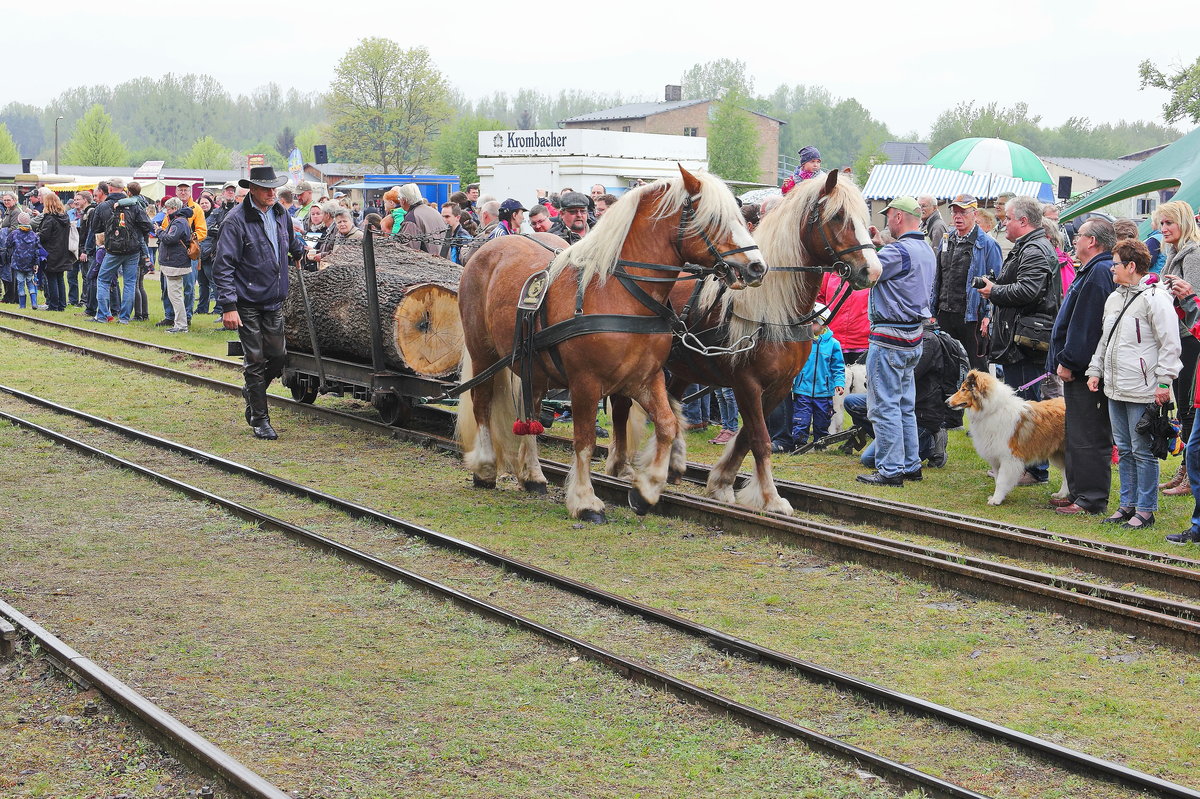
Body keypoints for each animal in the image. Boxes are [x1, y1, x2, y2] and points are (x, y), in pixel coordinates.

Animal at [453, 164, 763, 520]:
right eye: (714, 218)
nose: (757, 266)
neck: (620, 292)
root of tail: (487, 249)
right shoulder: (585, 383)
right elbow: (584, 440)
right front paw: (585, 500)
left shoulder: (646, 378)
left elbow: (668, 425)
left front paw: (646, 489)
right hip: (483, 354)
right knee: (481, 401)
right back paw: (486, 468)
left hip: (534, 365)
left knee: (529, 409)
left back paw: (532, 475)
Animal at [609, 171, 883, 513]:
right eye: (837, 217)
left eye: (865, 217)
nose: (873, 270)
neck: (773, 309)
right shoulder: (747, 382)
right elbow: (759, 439)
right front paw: (771, 498)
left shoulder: (778, 386)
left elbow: (745, 436)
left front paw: (722, 483)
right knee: (623, 405)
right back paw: (620, 464)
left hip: (684, 367)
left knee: (671, 404)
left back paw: (671, 463)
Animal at [945, 369, 1070, 503]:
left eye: (964, 389)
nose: (946, 402)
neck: (993, 410)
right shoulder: (996, 458)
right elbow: (997, 478)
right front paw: (998, 497)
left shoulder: (1008, 458)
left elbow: (1001, 481)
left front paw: (996, 500)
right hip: (1058, 453)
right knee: (1066, 473)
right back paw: (1061, 494)